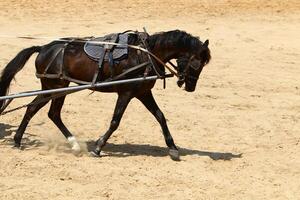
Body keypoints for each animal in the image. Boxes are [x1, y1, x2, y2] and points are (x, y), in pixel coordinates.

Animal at [0, 30, 211, 161]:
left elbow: (160, 117)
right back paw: (19, 140)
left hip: (58, 88)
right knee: (38, 109)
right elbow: (115, 121)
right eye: (197, 64)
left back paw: (69, 144)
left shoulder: (143, 92)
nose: (190, 87)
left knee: (48, 113)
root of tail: (44, 47)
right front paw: (98, 147)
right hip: (54, 86)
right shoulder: (126, 93)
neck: (145, 55)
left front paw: (173, 148)